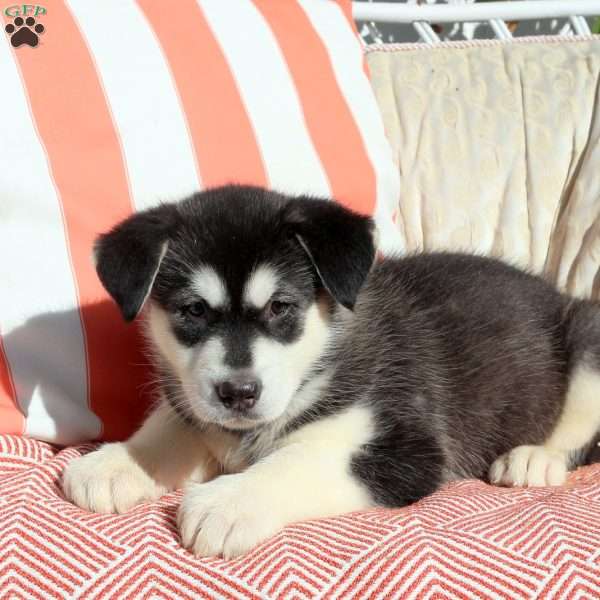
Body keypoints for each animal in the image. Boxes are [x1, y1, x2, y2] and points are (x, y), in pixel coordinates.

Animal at [62, 186, 600, 556]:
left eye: (280, 307)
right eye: (193, 311)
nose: (238, 392)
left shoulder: (407, 449)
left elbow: (296, 461)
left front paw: (230, 501)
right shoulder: (197, 406)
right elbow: (177, 425)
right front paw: (120, 462)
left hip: (587, 336)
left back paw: (534, 458)